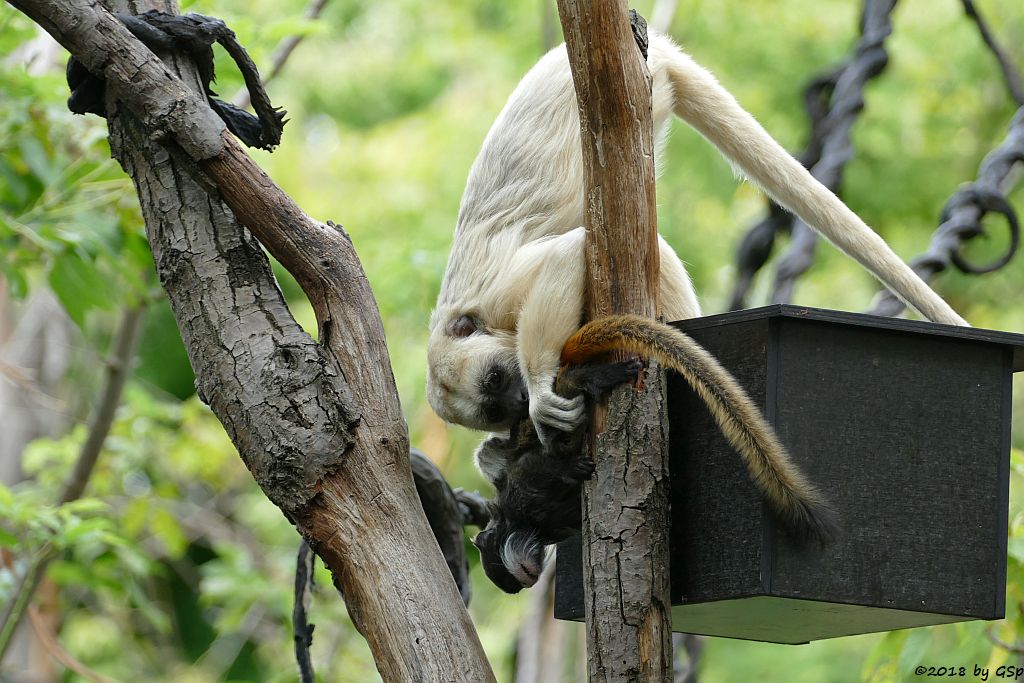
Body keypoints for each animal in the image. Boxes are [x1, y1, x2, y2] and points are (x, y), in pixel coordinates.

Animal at [425, 33, 966, 438]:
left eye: (497, 379)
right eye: (495, 408)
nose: (518, 399)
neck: (466, 315)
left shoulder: (499, 293)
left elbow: (567, 251)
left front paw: (540, 394)